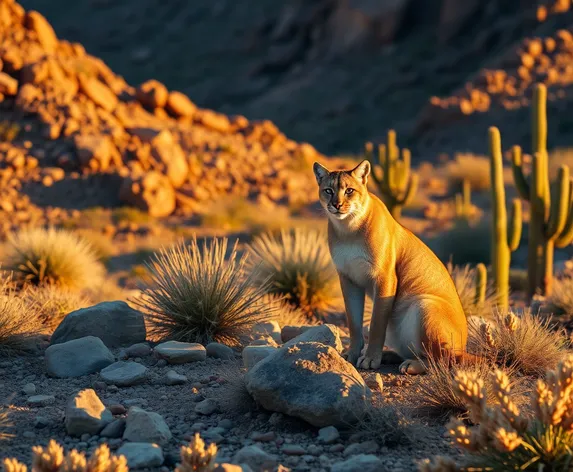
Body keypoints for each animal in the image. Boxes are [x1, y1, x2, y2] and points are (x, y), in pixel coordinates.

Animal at [312, 160, 470, 374]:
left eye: (349, 190)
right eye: (328, 190)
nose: (336, 205)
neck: (348, 229)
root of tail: (464, 347)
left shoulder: (384, 277)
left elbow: (377, 322)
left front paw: (370, 358)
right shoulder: (348, 278)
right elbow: (353, 321)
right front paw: (352, 354)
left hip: (425, 304)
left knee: (445, 359)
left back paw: (410, 364)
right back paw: (391, 356)